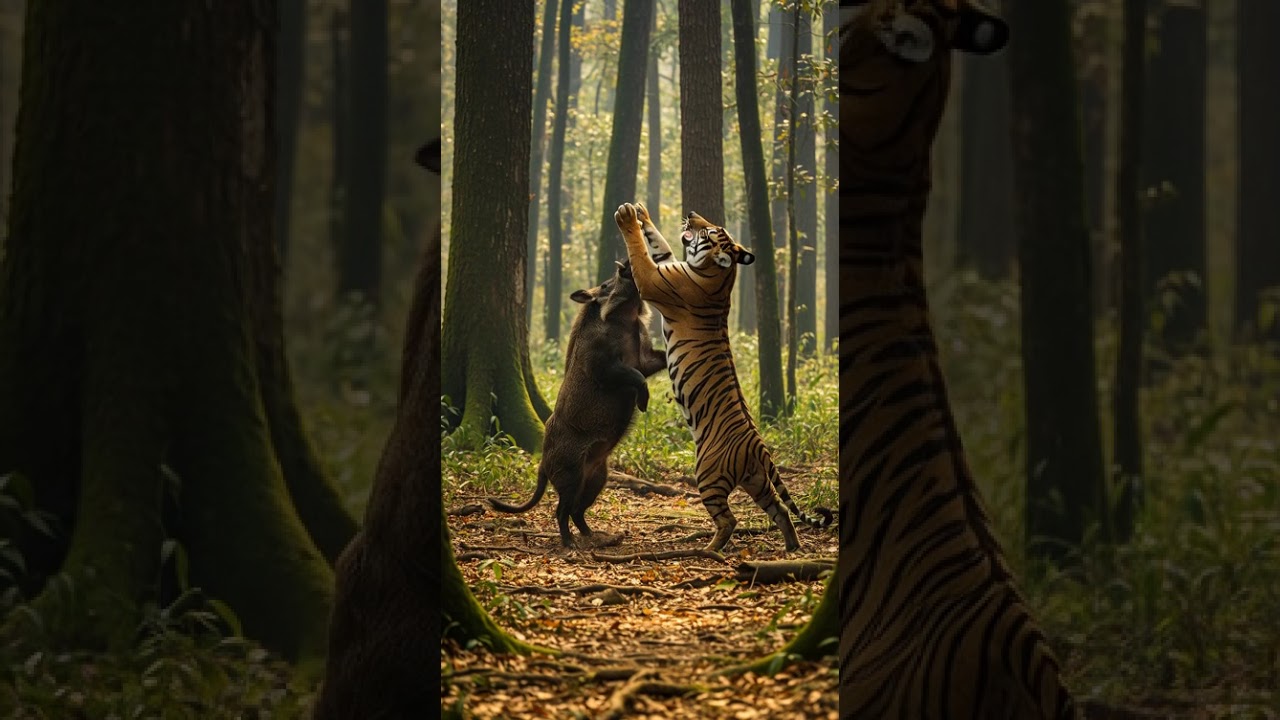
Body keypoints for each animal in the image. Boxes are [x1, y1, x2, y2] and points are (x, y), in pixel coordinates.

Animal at [613, 202, 834, 553]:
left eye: (710, 231)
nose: (692, 215)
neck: (719, 275)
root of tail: (759, 447)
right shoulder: (667, 262)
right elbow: (659, 244)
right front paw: (642, 213)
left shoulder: (652, 279)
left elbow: (640, 252)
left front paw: (627, 218)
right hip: (757, 482)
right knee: (780, 508)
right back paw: (792, 546)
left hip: (708, 476)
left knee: (730, 519)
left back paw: (710, 549)